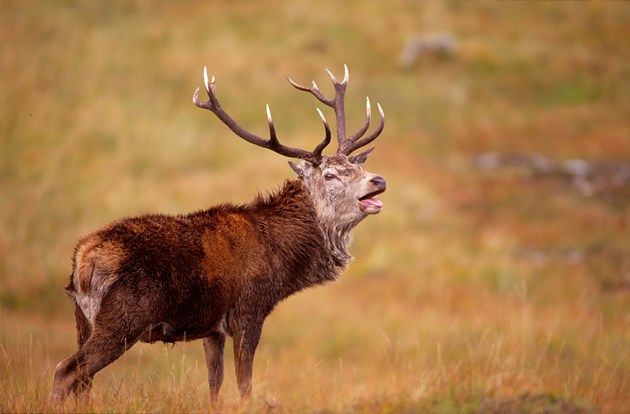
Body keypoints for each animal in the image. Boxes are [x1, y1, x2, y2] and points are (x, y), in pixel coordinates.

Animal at [50, 65, 386, 404]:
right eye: (329, 175)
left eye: (357, 167)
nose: (378, 180)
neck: (281, 260)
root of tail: (82, 261)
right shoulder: (248, 311)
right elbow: (244, 384)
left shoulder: (213, 328)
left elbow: (215, 383)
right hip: (124, 317)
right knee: (68, 370)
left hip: (83, 319)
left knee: (84, 380)